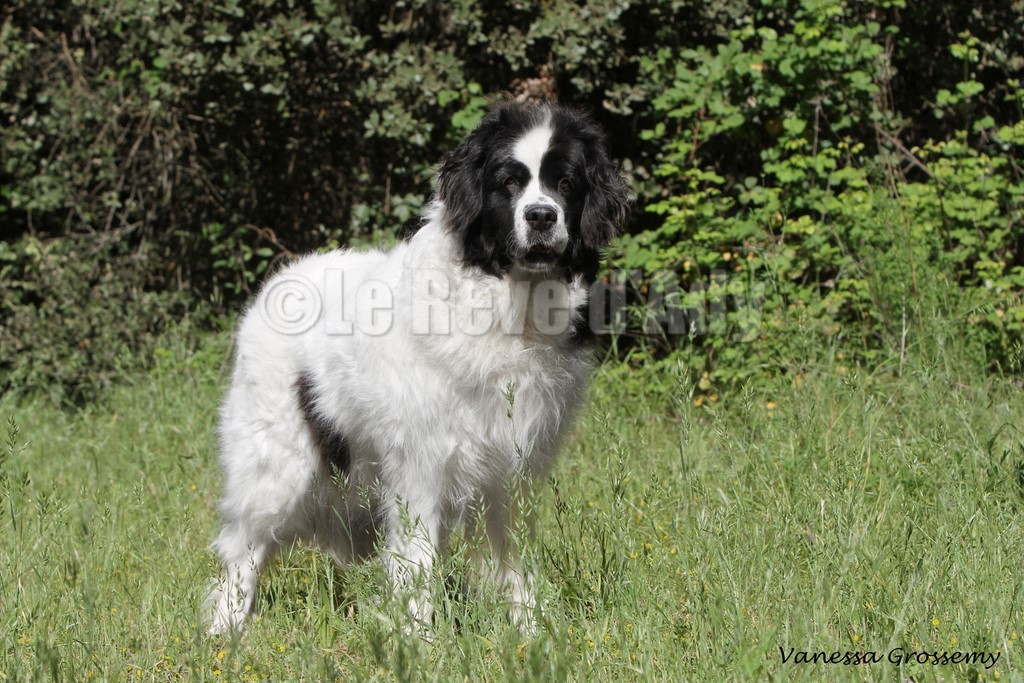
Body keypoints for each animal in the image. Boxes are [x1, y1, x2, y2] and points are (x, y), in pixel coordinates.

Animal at [205, 101, 630, 634]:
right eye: (508, 182)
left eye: (567, 183)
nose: (540, 215)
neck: (507, 305)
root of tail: (280, 280)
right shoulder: (420, 464)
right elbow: (418, 561)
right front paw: (419, 638)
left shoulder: (515, 468)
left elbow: (514, 562)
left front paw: (531, 631)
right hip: (276, 464)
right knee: (244, 547)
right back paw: (225, 628)